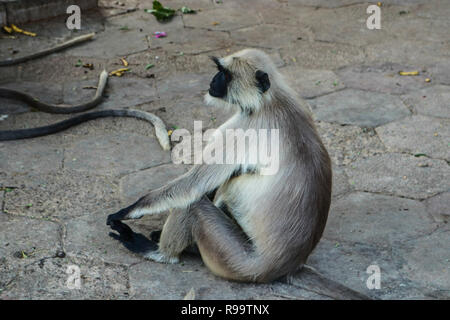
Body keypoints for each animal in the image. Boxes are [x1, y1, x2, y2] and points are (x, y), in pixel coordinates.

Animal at [107, 47, 332, 282]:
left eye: (225, 74)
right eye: (219, 71)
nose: (213, 80)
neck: (270, 100)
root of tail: (287, 265)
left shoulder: (244, 126)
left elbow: (193, 185)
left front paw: (129, 211)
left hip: (234, 259)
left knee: (194, 204)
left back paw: (159, 252)